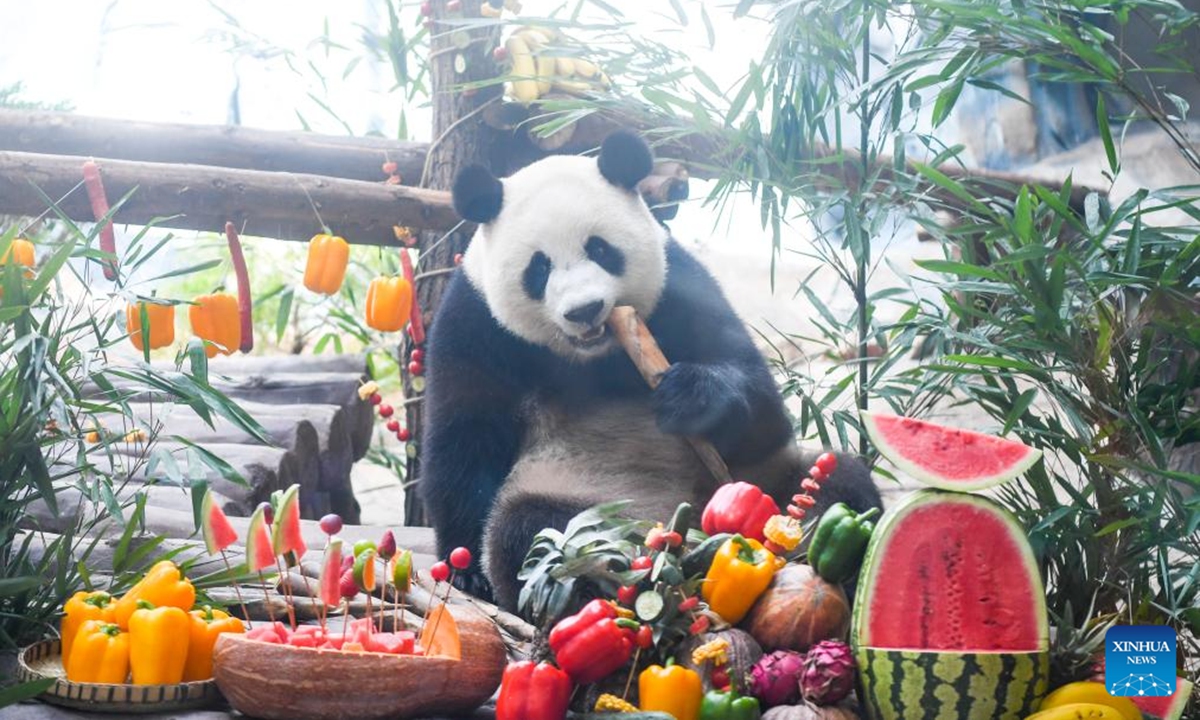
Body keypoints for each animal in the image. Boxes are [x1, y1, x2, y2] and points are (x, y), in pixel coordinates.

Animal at [420, 130, 883, 610]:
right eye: (539, 266)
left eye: (600, 249)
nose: (585, 310)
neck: (593, 356)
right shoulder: (475, 324)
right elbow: (465, 437)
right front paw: (468, 573)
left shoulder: (679, 285)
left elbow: (763, 411)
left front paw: (691, 396)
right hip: (582, 492)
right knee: (532, 529)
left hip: (765, 482)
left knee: (838, 488)